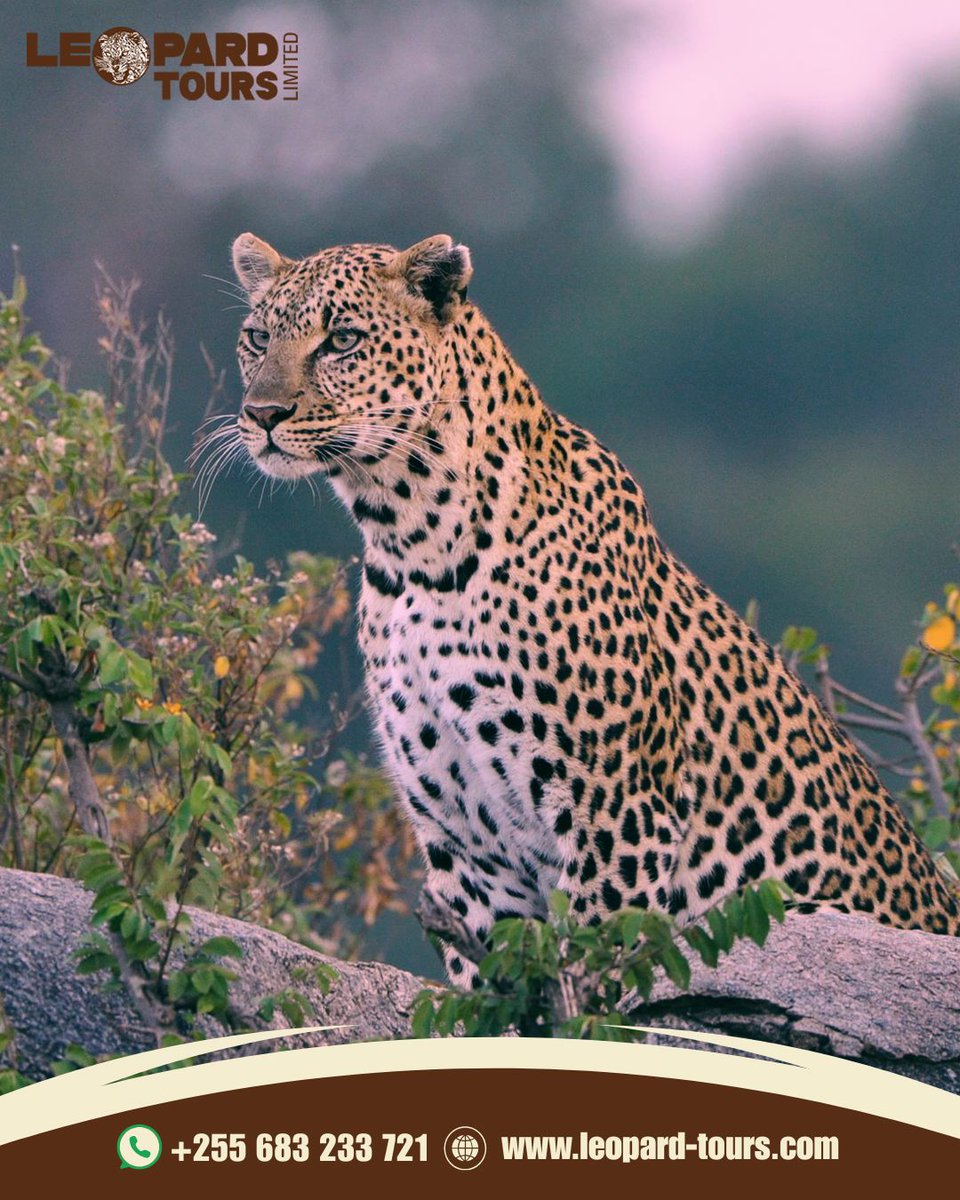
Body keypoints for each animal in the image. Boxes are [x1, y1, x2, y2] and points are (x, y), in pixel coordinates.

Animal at [222, 229, 960, 983]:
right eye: (257, 337)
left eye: (341, 339)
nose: (262, 416)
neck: (410, 545)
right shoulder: (466, 848)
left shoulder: (617, 813)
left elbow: (592, 970)